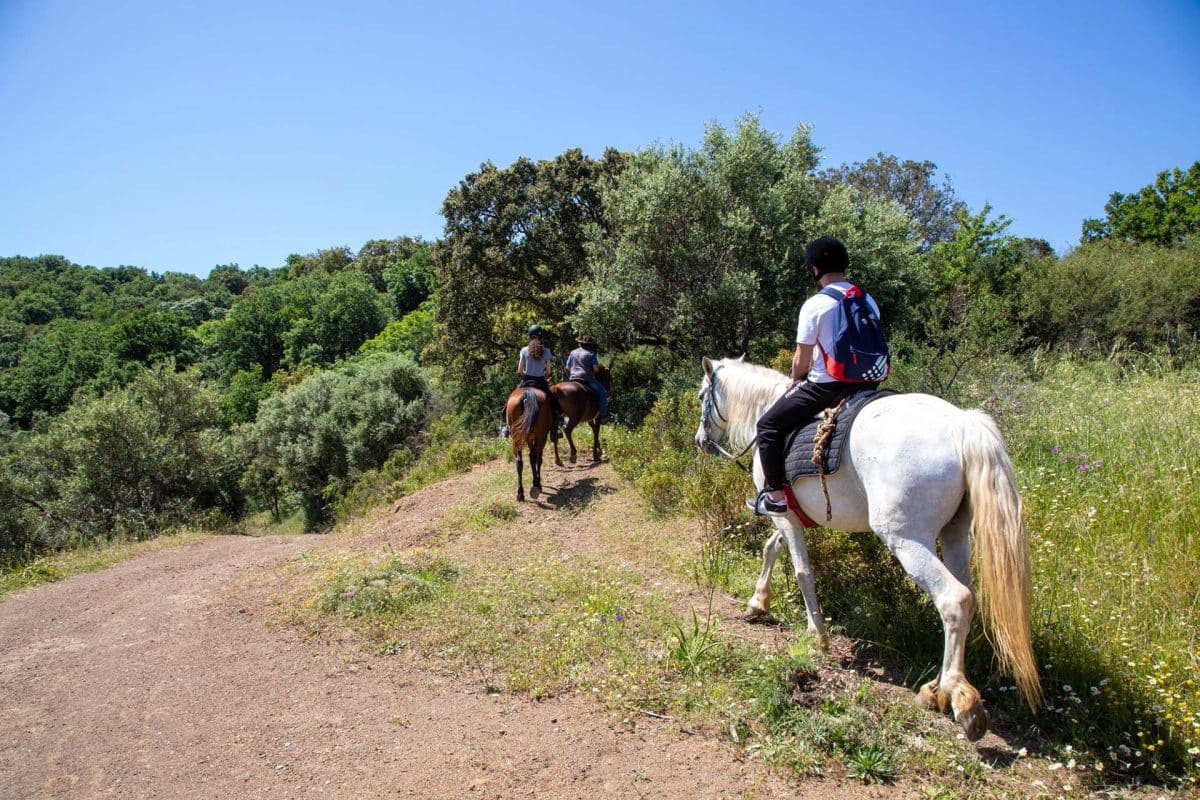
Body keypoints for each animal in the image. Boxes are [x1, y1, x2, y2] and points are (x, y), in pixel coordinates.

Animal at [696, 359, 1041, 743]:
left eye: (702, 396)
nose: (700, 441)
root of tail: (962, 425)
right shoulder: (789, 517)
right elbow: (772, 549)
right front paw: (758, 603)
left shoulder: (782, 512)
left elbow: (802, 571)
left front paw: (817, 636)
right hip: (955, 536)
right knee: (966, 597)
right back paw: (936, 688)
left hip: (906, 539)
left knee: (954, 599)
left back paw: (960, 699)